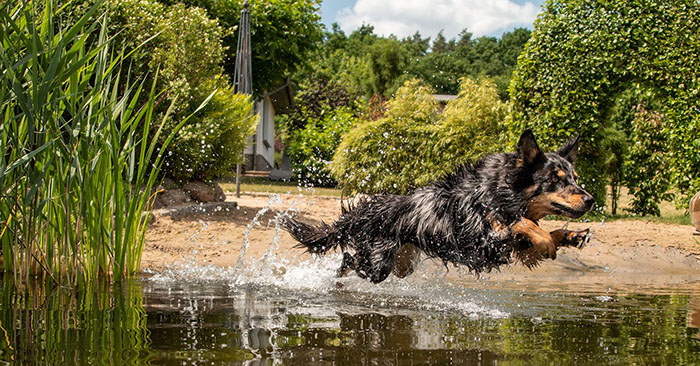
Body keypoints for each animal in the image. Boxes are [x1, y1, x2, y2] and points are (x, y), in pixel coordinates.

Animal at [282, 130, 592, 284]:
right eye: (555, 179)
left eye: (575, 177)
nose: (589, 199)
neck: (499, 192)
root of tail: (366, 211)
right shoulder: (482, 242)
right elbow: (519, 223)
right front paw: (544, 236)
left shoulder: (514, 251)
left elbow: (537, 237)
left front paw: (570, 236)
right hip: (378, 263)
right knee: (349, 260)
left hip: (401, 263)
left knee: (353, 260)